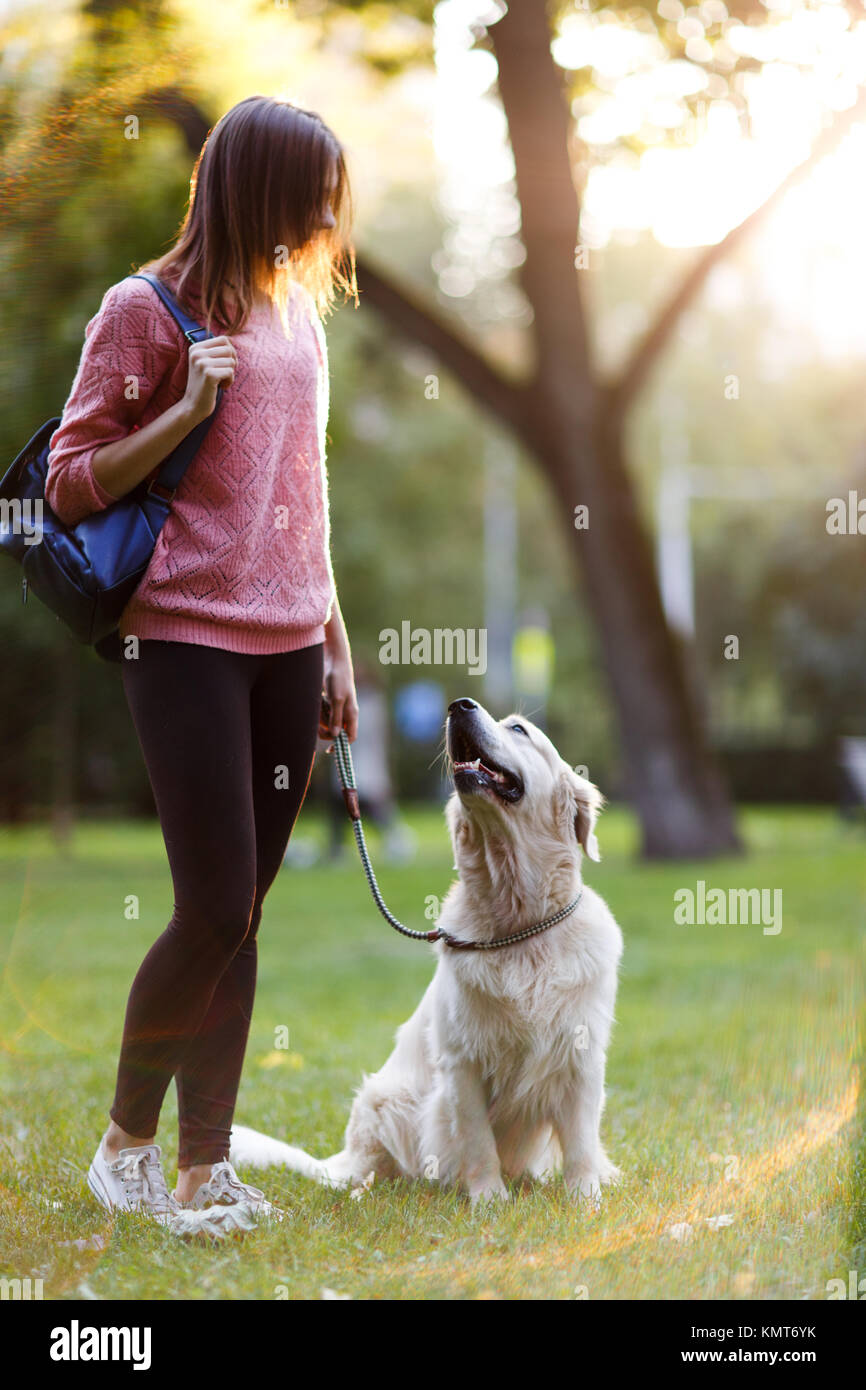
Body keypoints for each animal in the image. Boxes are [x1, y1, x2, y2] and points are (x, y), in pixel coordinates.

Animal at [230, 700, 622, 1200]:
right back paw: (368, 1193)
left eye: (519, 729)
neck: (520, 925)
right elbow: (477, 1140)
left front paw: (585, 1198)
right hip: (384, 1100)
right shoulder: (463, 1063)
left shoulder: (581, 1057)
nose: (459, 706)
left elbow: (581, 1141)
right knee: (369, 1172)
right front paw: (489, 1199)